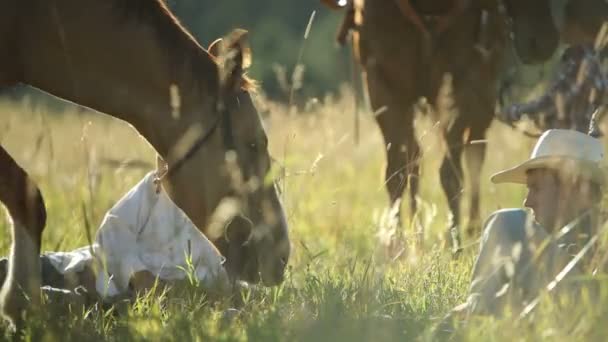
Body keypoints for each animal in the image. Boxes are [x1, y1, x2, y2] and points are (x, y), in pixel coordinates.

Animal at [320, 0, 510, 251]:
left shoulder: (464, 81)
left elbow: (451, 172)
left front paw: (454, 241)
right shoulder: (382, 82)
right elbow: (396, 170)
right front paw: (396, 243)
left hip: (483, 93)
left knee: (475, 150)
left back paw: (473, 229)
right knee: (415, 154)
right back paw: (418, 235)